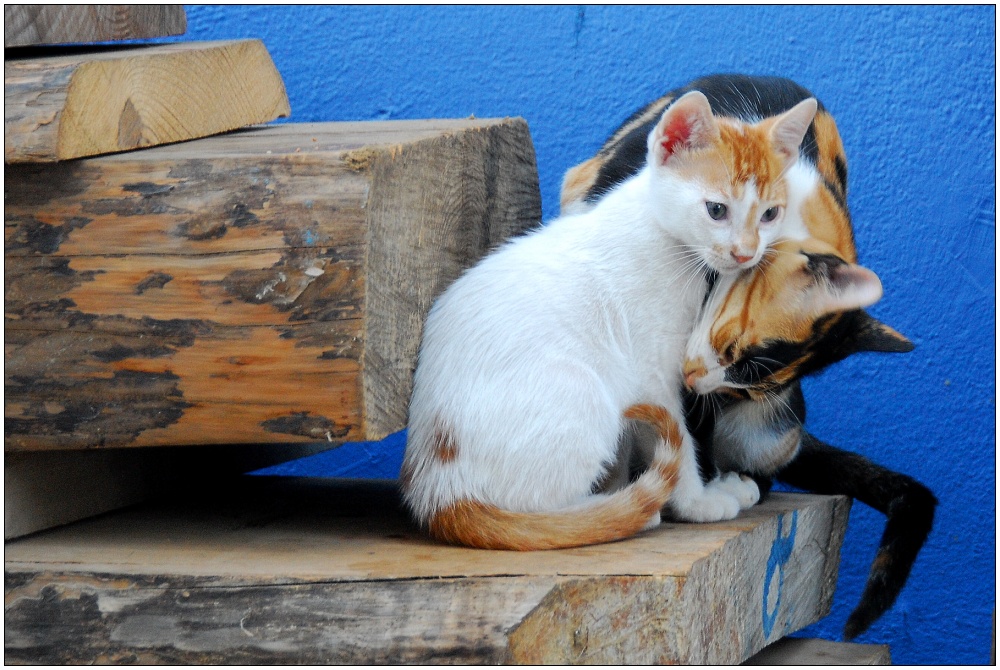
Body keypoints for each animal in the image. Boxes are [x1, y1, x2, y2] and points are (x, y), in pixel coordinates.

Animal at [400, 90, 820, 552]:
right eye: (716, 210)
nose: (746, 253)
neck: (665, 239)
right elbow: (681, 437)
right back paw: (615, 509)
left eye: (770, 214)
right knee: (533, 510)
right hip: (585, 396)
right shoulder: (651, 371)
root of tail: (437, 487)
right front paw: (698, 501)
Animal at [564, 72, 936, 640]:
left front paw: (694, 489)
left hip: (776, 430)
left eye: (748, 383)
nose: (698, 383)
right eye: (732, 348)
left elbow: (688, 426)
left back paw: (740, 483)